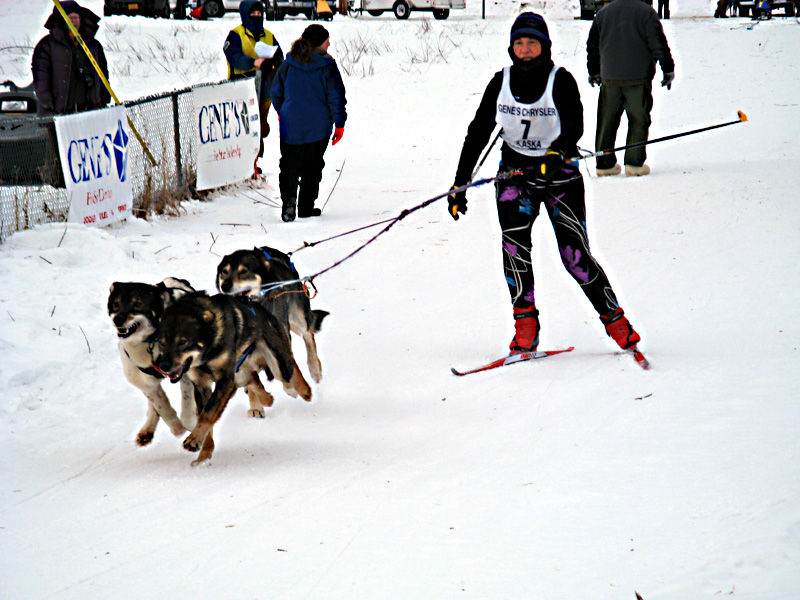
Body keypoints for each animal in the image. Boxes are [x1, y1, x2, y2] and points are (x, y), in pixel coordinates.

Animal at [108, 276, 197, 446]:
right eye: (116, 304)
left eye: (137, 304)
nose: (118, 319)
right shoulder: (144, 380)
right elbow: (161, 406)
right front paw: (176, 427)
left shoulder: (184, 371)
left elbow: (187, 402)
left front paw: (189, 423)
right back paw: (147, 429)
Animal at [155, 292, 310, 466]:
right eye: (161, 343)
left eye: (182, 342)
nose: (163, 365)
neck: (208, 351)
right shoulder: (202, 385)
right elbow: (206, 417)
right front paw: (204, 455)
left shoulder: (224, 380)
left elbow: (208, 414)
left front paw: (194, 440)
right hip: (242, 370)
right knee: (252, 378)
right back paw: (267, 398)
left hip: (277, 365)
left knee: (289, 368)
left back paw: (304, 390)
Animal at [216, 245, 328, 382]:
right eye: (224, 272)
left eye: (243, 271)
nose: (225, 285)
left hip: (298, 318)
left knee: (308, 333)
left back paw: (314, 368)